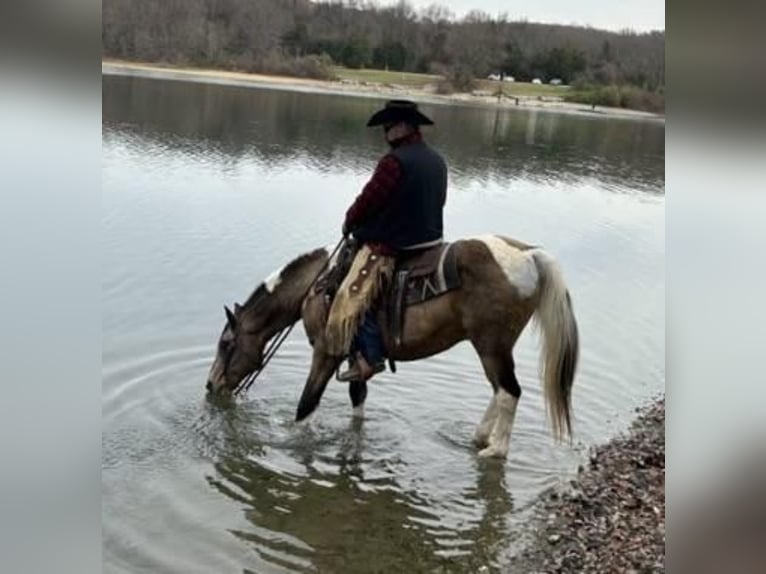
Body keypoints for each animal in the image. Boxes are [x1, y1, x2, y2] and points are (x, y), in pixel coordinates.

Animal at [207, 236, 580, 462]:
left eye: (226, 344)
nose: (211, 385)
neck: (318, 284)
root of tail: (528, 254)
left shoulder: (326, 352)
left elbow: (306, 405)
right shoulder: (355, 358)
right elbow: (358, 401)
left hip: (491, 346)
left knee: (508, 392)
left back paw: (495, 450)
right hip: (493, 349)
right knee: (500, 390)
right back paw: (479, 437)